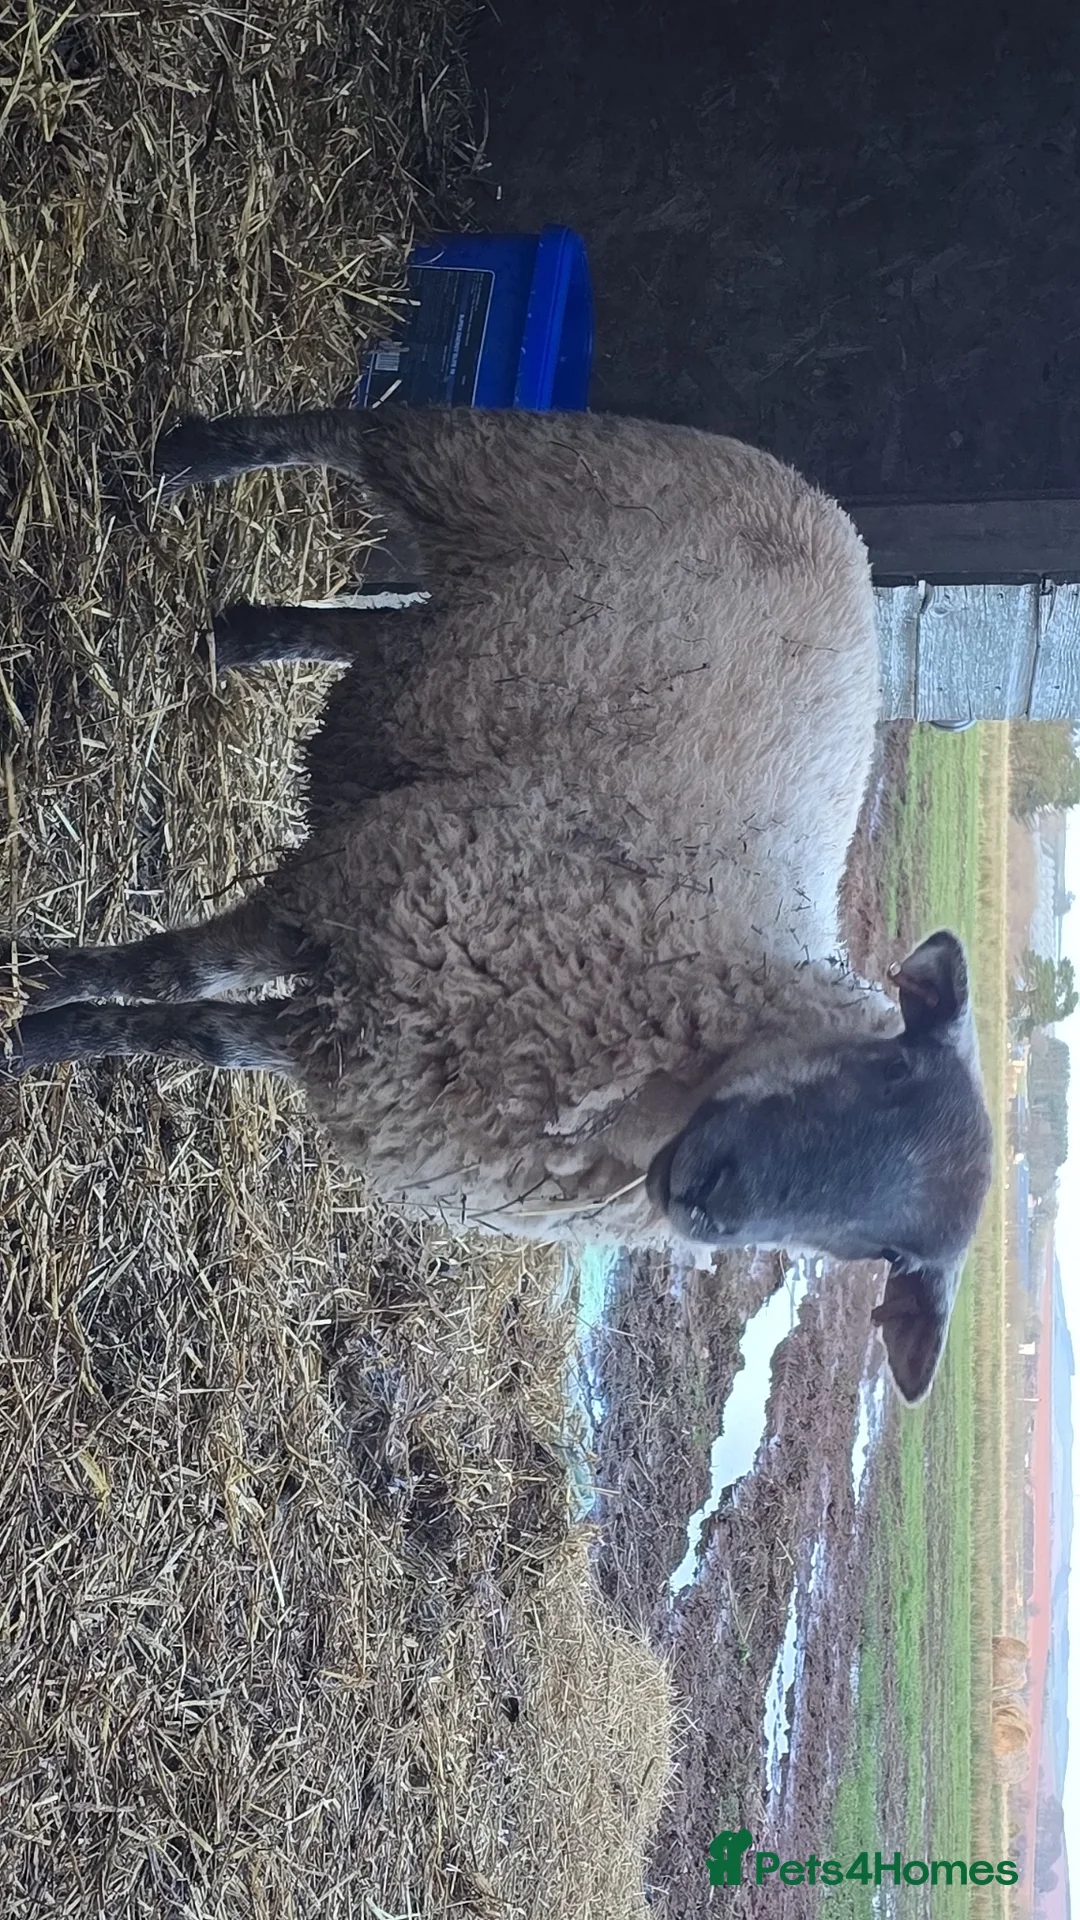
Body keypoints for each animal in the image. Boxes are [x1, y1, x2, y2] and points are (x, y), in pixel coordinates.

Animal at [1, 407, 993, 1404]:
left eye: (885, 1255)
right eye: (890, 1066)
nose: (709, 1195)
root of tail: (835, 517)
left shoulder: (361, 1045)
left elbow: (200, 1035)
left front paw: (47, 1030)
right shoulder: (351, 894)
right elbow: (172, 976)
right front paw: (41, 1001)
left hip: (474, 608)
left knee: (379, 634)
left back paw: (235, 635)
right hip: (492, 460)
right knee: (340, 433)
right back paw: (181, 462)